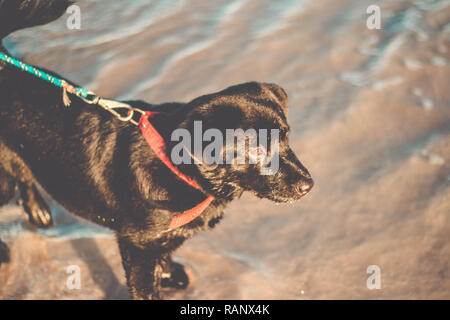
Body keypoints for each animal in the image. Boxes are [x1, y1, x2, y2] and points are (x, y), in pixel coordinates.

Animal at [0, 0, 314, 300]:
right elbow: (144, 288)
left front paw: (168, 272)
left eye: (286, 135)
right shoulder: (136, 245)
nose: (308, 186)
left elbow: (164, 251)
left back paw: (38, 212)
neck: (178, 167)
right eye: (257, 150)